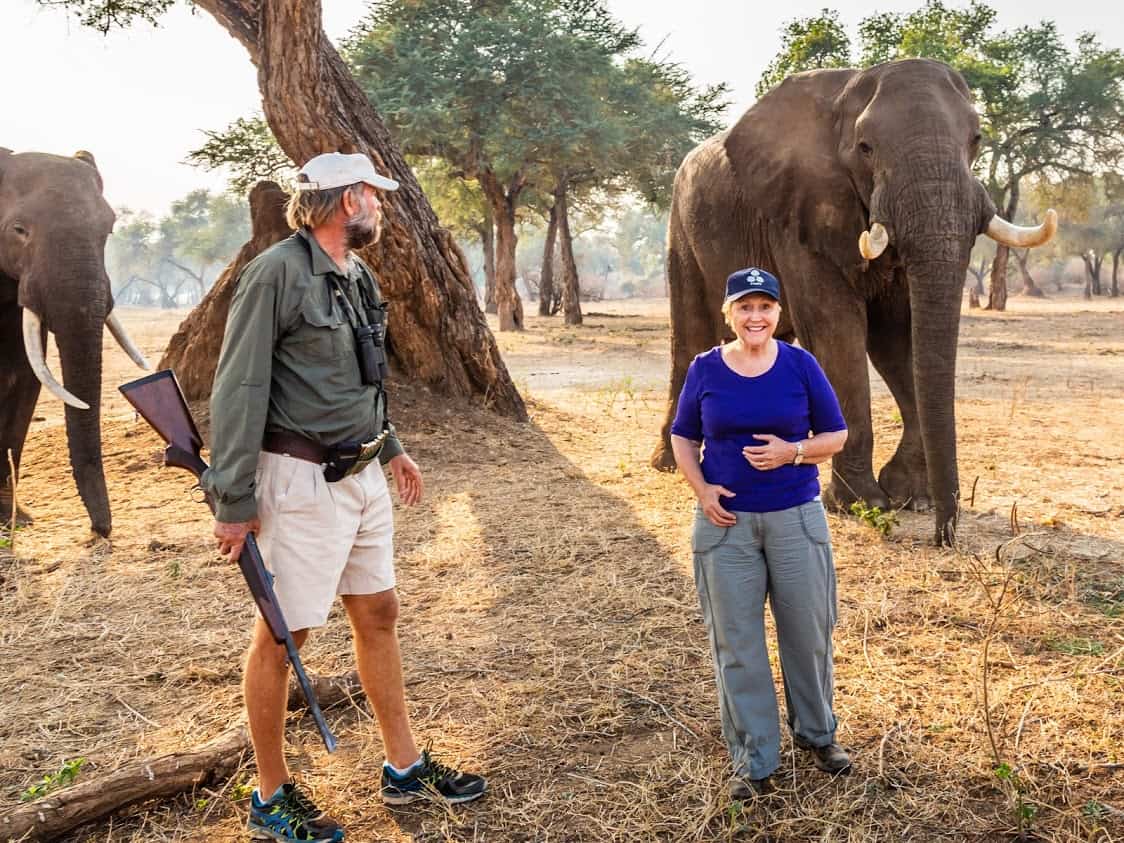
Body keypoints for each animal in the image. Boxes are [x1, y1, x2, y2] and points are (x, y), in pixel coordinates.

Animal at [656, 60, 1056, 548]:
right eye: (866, 148)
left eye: (977, 138)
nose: (943, 537)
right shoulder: (798, 210)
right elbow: (836, 328)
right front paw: (861, 504)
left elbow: (897, 337)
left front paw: (911, 497)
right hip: (681, 226)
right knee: (691, 336)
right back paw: (669, 464)